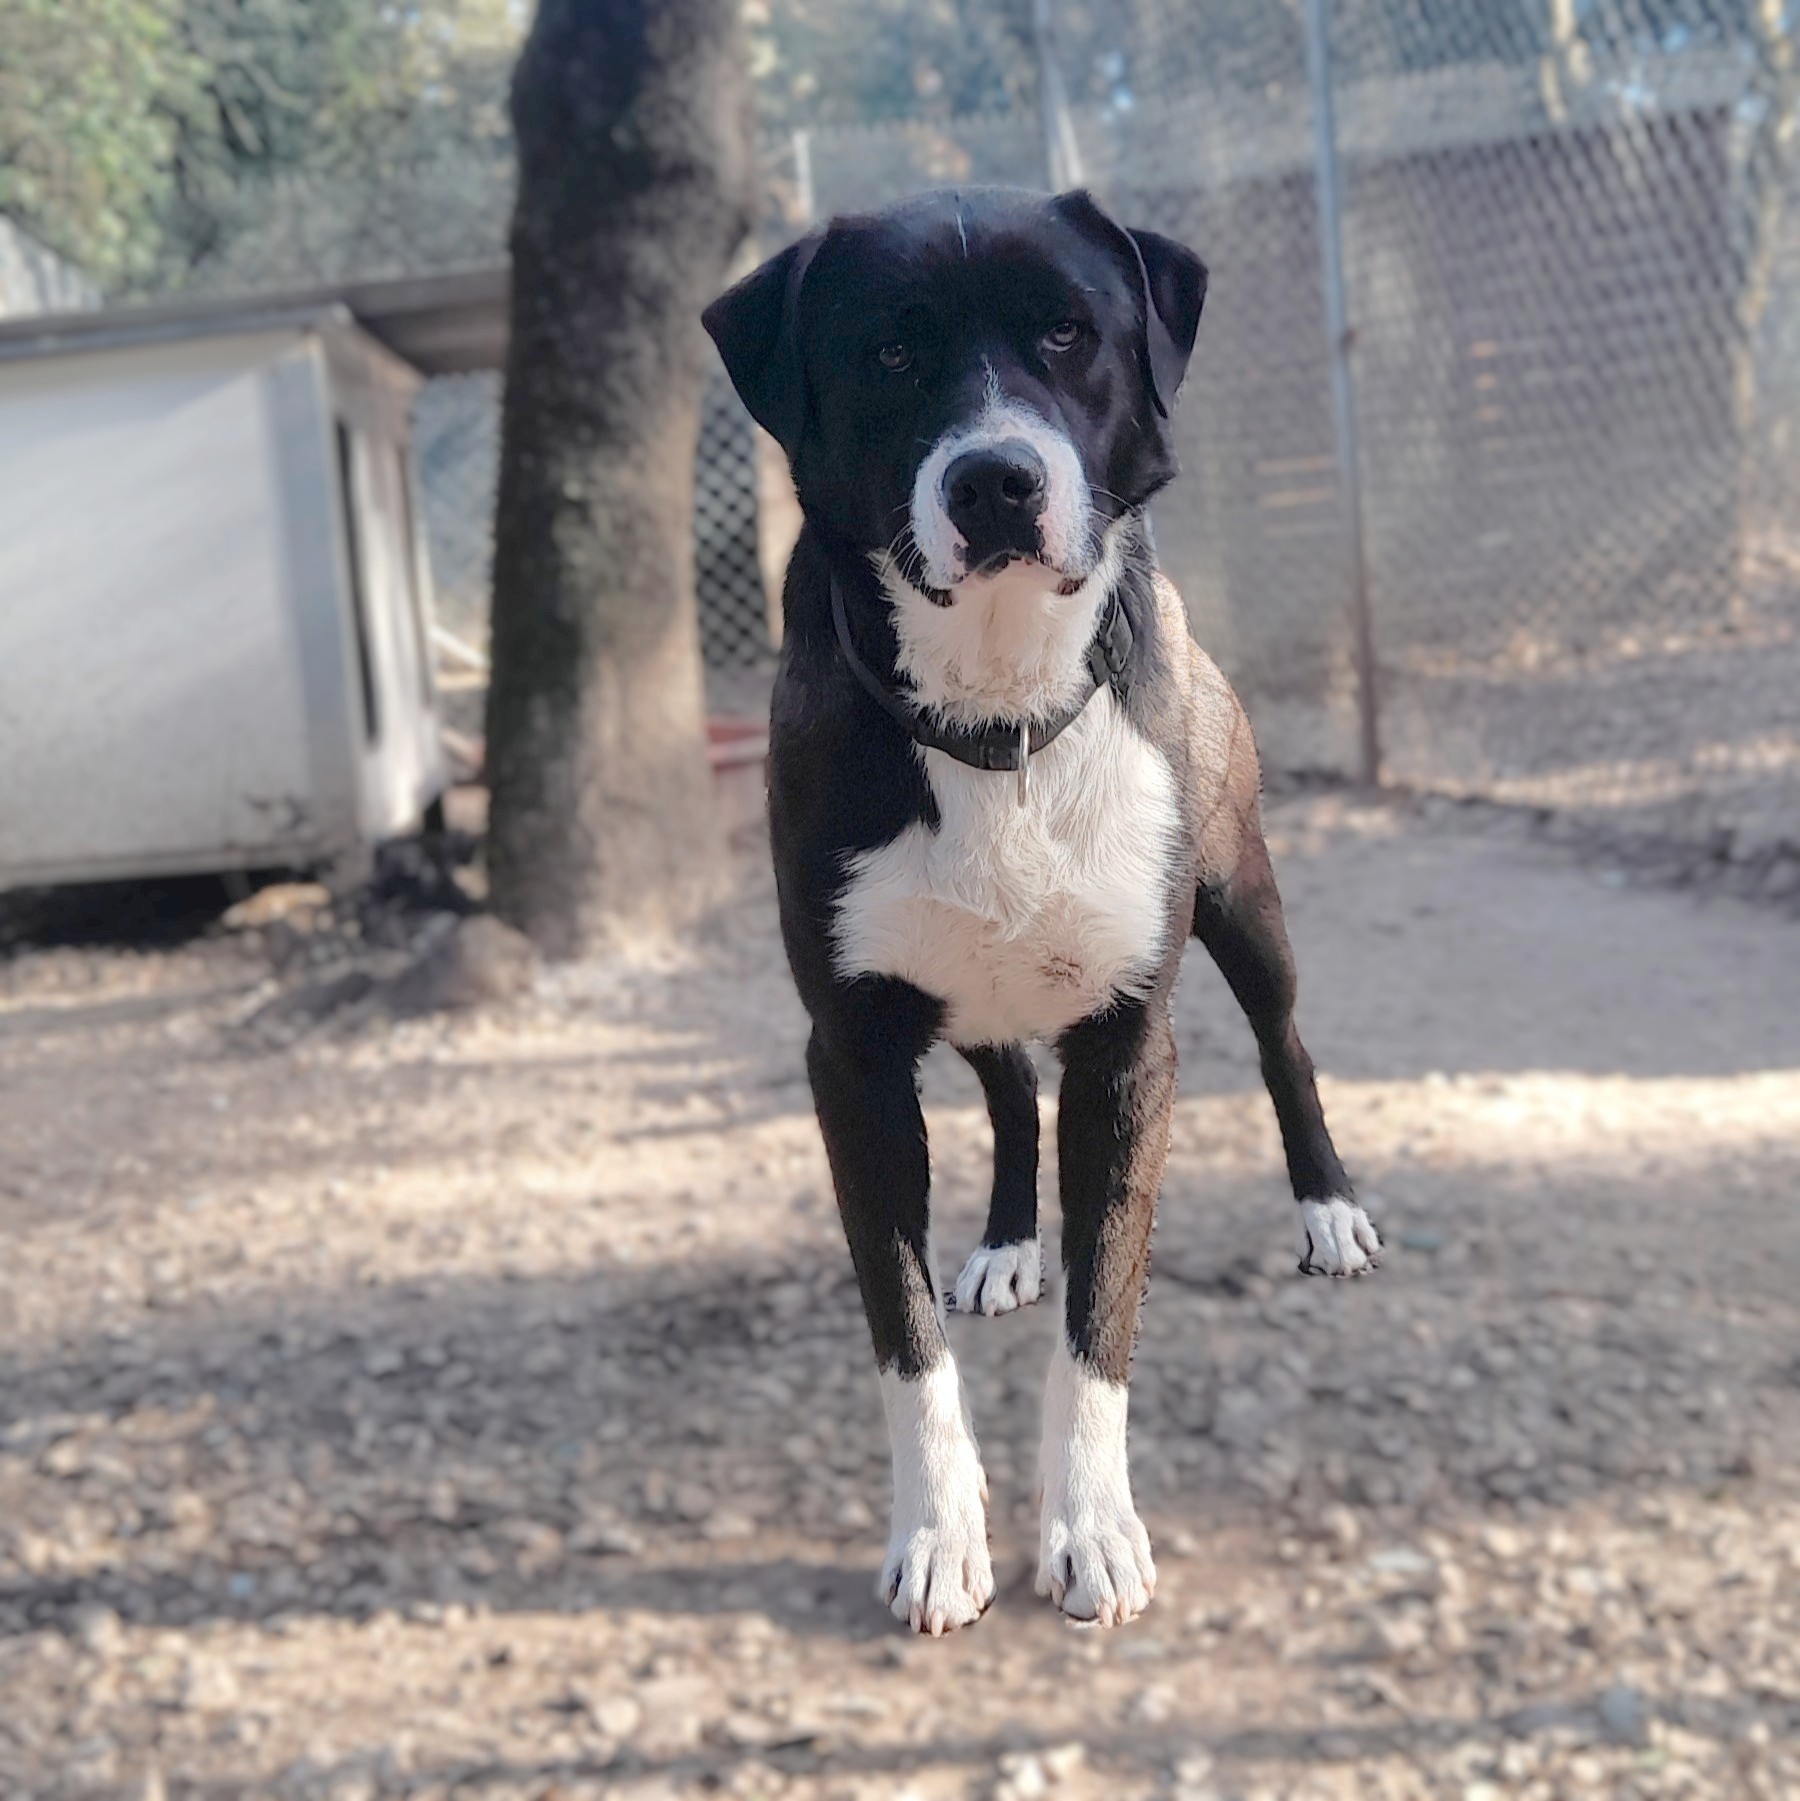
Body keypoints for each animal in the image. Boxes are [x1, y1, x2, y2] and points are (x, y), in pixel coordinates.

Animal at [704, 187, 1379, 1636]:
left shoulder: (1129, 1044)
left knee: (1285, 1038)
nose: (994, 479)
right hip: (970, 993)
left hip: (1241, 896)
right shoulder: (852, 1054)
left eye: (1070, 332)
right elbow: (904, 1334)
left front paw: (1092, 1527)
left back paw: (1329, 1211)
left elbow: (1103, 1312)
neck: (995, 710)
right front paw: (939, 1532)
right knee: (1012, 1094)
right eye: (890, 352)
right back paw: (1009, 1242)